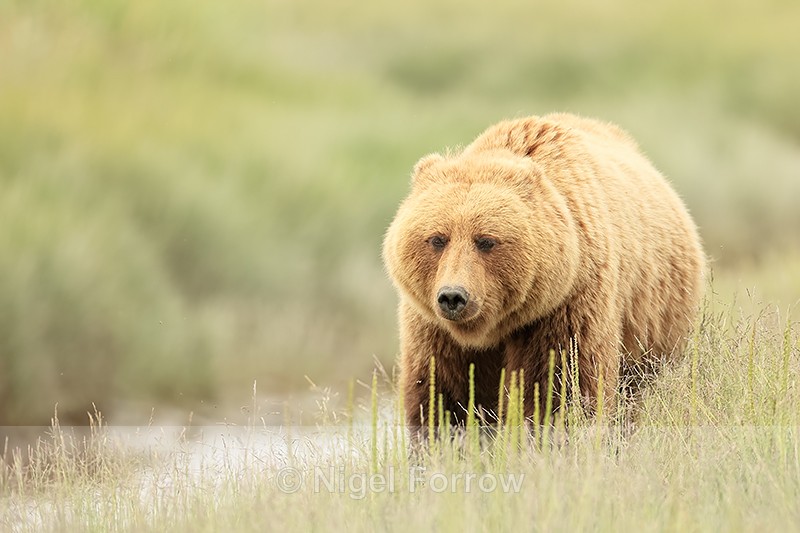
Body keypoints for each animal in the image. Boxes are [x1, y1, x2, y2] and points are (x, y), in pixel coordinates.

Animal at [382, 113, 705, 430]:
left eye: (486, 240)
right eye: (437, 238)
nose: (453, 296)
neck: (492, 328)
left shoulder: (564, 306)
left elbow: (559, 385)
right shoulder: (434, 328)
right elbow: (443, 392)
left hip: (656, 320)